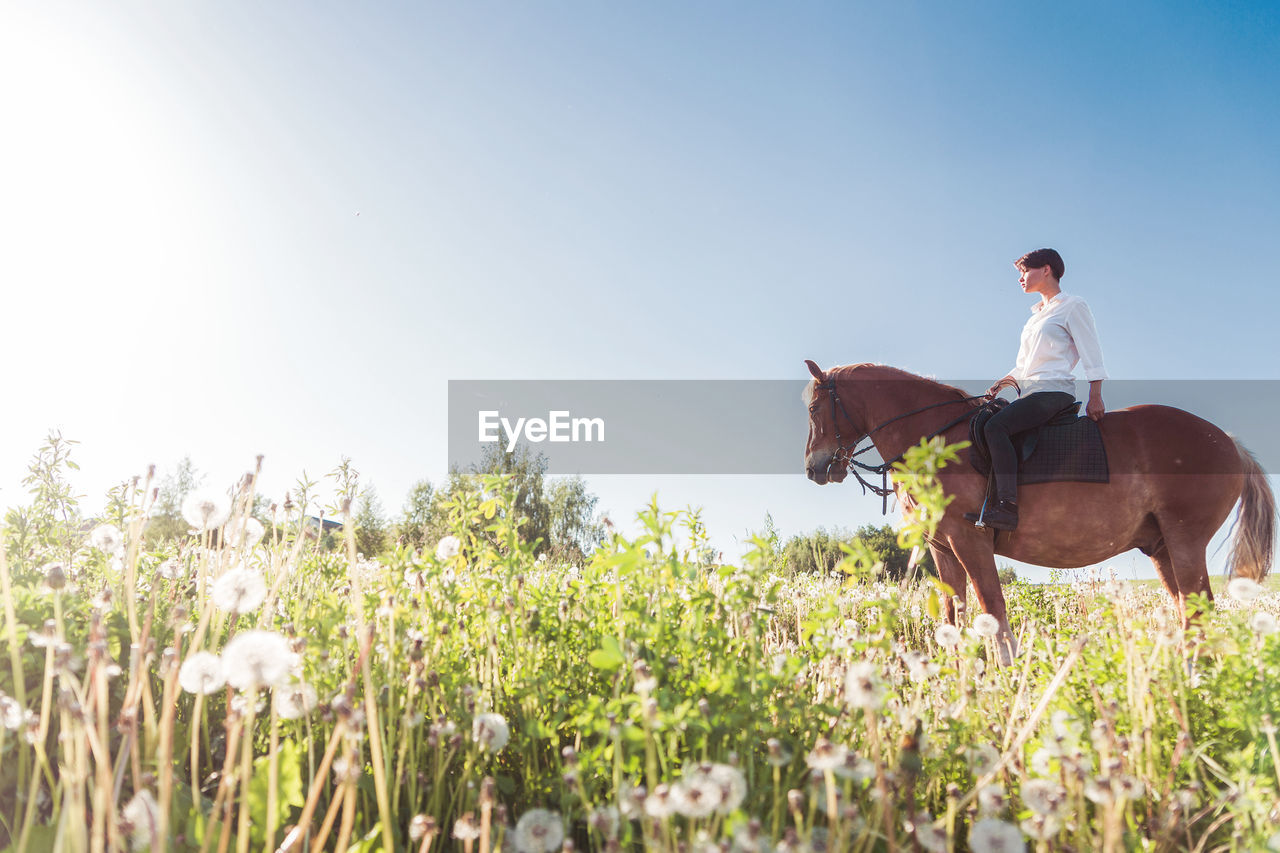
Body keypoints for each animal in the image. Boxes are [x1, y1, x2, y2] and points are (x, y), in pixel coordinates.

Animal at [803, 358, 1274, 655]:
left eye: (813, 407)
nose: (813, 468)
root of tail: (1229, 442)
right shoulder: (942, 548)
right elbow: (954, 616)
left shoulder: (969, 538)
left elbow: (992, 609)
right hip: (1161, 548)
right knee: (1187, 613)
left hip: (1185, 540)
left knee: (1198, 611)